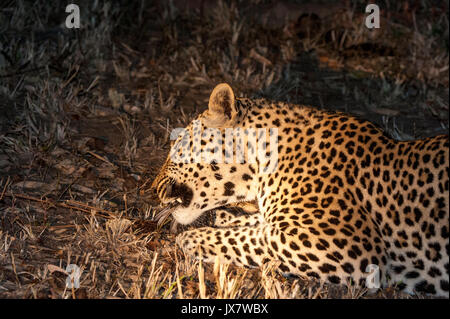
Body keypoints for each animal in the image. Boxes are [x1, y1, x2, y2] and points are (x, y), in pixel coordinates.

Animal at [152, 83, 450, 298]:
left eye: (177, 145)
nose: (154, 188)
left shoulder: (346, 246)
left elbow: (254, 238)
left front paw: (194, 237)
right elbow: (257, 224)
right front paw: (228, 217)